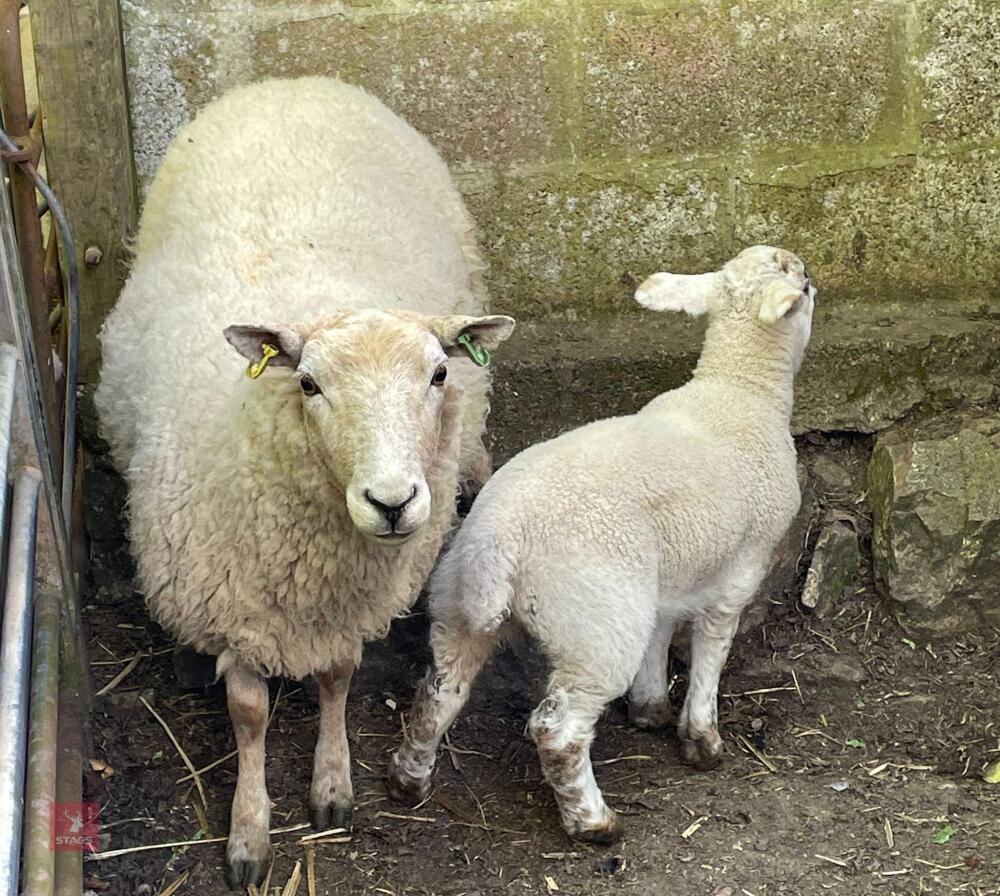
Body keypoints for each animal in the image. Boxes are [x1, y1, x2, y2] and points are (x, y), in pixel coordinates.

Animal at [94, 77, 514, 887]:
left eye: (438, 374)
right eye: (310, 384)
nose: (392, 502)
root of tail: (294, 84)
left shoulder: (344, 607)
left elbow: (339, 678)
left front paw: (330, 787)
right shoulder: (232, 606)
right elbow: (250, 714)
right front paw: (250, 834)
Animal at [387, 245, 815, 843]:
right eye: (807, 285)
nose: (810, 272)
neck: (740, 389)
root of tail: (502, 543)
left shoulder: (668, 573)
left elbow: (661, 630)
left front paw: (651, 707)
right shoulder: (742, 567)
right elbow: (711, 649)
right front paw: (701, 740)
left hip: (461, 602)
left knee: (438, 693)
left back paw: (409, 779)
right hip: (594, 627)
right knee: (558, 729)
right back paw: (592, 821)